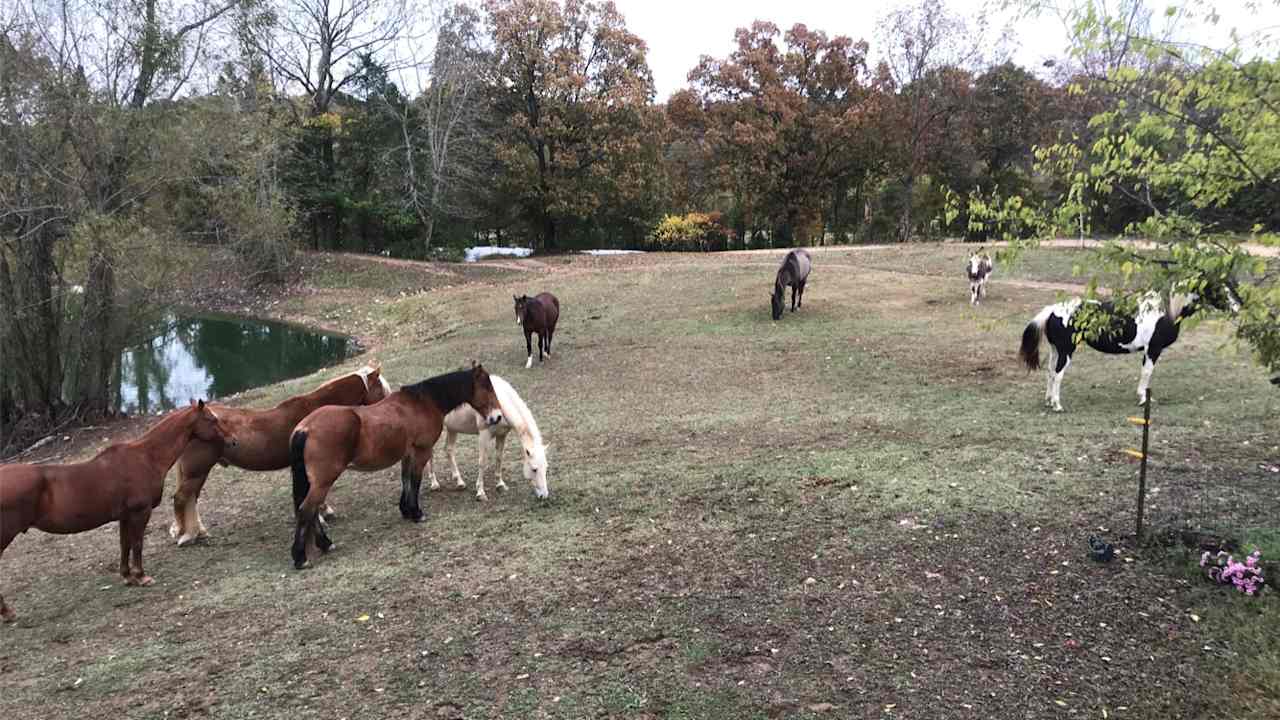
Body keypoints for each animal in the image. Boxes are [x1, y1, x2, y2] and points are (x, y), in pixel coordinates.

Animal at [0, 397, 234, 622]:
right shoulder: (140, 513)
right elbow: (137, 544)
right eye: (212, 420)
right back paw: (7, 612)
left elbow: (125, 545)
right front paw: (141, 576)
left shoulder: (125, 517)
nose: (232, 441)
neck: (146, 457)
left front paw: (128, 576)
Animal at [170, 363, 389, 543]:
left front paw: (324, 511)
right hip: (197, 471)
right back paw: (186, 535)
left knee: (191, 499)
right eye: (381, 390)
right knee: (182, 498)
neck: (315, 411)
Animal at [288, 361, 501, 568]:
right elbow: (415, 481)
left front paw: (406, 510)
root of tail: (304, 428)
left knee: (312, 511)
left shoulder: (407, 454)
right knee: (307, 510)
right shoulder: (421, 452)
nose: (497, 417)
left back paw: (324, 544)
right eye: (487, 386)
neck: (422, 403)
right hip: (323, 481)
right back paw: (301, 557)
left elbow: (405, 480)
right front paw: (417, 513)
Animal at [1018, 281, 1239, 412]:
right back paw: (1057, 405)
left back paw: (1049, 401)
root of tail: (1053, 310)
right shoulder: (1153, 349)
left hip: (1056, 351)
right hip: (1066, 352)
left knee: (1050, 373)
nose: (1237, 308)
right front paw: (1143, 399)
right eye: (1219, 289)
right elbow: (1147, 373)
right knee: (1058, 375)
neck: (1165, 311)